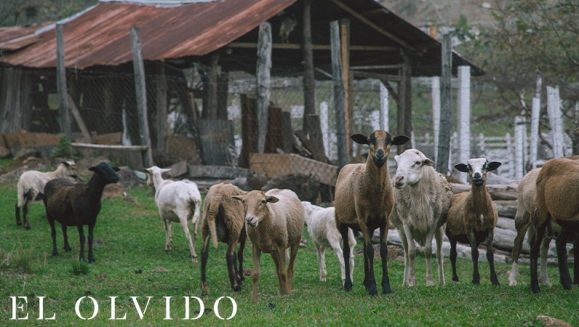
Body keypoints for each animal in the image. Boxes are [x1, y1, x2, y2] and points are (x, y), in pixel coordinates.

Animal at [334, 131, 410, 298]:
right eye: (369, 140)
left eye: (391, 141)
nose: (379, 155)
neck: (376, 197)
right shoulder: (362, 218)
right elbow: (370, 251)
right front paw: (374, 288)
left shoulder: (385, 220)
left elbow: (382, 250)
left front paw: (385, 287)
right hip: (341, 221)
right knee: (347, 251)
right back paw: (348, 284)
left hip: (368, 225)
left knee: (364, 249)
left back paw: (366, 282)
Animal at [392, 150, 456, 288]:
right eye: (397, 162)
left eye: (417, 162)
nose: (398, 179)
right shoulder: (406, 224)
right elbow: (411, 252)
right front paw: (411, 282)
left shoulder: (433, 224)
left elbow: (428, 251)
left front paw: (430, 281)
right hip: (400, 230)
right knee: (405, 253)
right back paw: (404, 283)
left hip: (440, 228)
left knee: (439, 254)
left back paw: (442, 282)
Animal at [446, 159, 500, 288]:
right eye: (468, 167)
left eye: (485, 166)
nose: (477, 176)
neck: (480, 211)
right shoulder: (469, 229)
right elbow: (474, 253)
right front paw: (476, 279)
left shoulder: (490, 229)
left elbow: (490, 254)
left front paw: (495, 280)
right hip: (451, 234)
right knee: (453, 254)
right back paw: (455, 279)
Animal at [532, 158, 579, 294]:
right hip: (541, 213)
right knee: (534, 248)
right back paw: (535, 287)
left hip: (566, 219)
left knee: (560, 242)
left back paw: (567, 283)